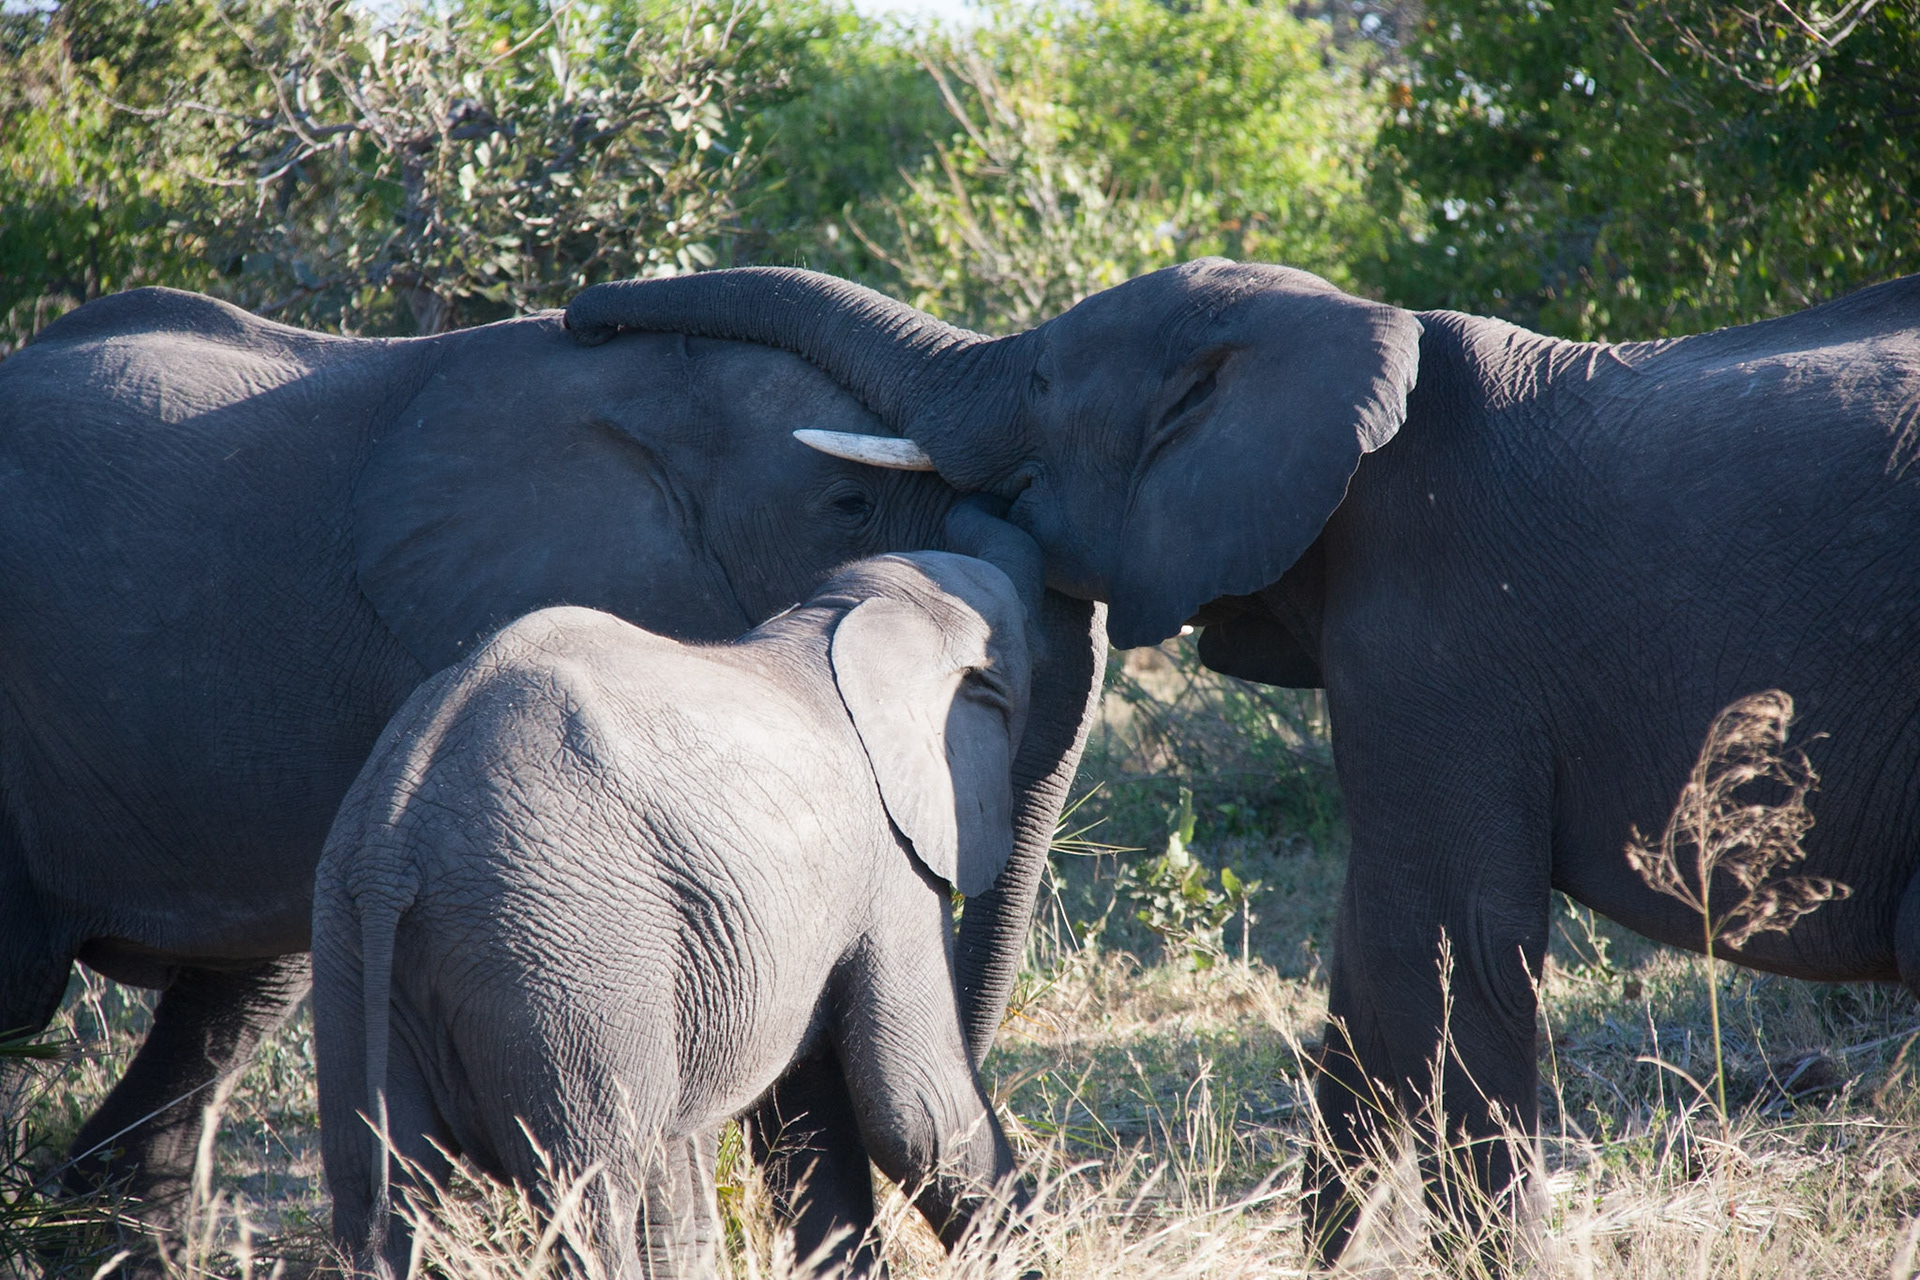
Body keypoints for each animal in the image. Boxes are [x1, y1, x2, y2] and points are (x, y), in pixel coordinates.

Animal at [313, 538, 1042, 1279]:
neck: (845, 611)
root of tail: (393, 836)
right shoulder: (889, 866)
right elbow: (915, 1109)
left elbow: (809, 1118)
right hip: (563, 957)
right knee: (590, 1194)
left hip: (350, 945)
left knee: (378, 1182)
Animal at [563, 260, 1920, 1260]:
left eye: (1041, 372)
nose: (584, 313)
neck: (1358, 331)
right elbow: (1371, 972)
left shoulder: (1439, 631)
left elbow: (1446, 954)